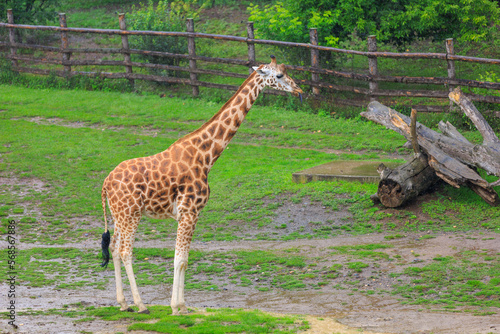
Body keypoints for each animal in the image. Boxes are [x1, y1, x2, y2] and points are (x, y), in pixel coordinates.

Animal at [98, 54, 300, 314]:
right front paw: (177, 307)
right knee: (125, 251)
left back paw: (123, 303)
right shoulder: (189, 211)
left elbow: (184, 259)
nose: (298, 89)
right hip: (130, 214)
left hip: (120, 215)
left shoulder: (189, 214)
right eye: (279, 75)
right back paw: (141, 305)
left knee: (114, 248)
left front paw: (181, 306)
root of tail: (105, 183)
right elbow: (180, 259)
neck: (206, 157)